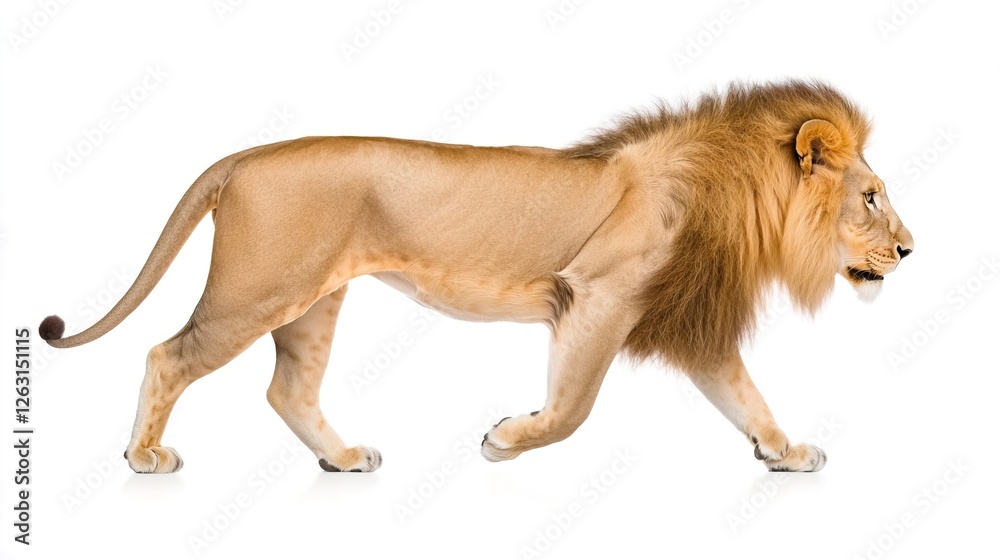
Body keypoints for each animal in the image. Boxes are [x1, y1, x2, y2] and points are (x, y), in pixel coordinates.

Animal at [39, 80, 912, 475]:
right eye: (871, 197)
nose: (910, 251)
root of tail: (244, 157)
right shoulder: (596, 296)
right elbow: (572, 409)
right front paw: (505, 438)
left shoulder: (685, 322)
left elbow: (746, 396)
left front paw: (786, 453)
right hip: (256, 291)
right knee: (168, 355)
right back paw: (144, 458)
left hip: (313, 300)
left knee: (287, 389)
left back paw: (343, 459)